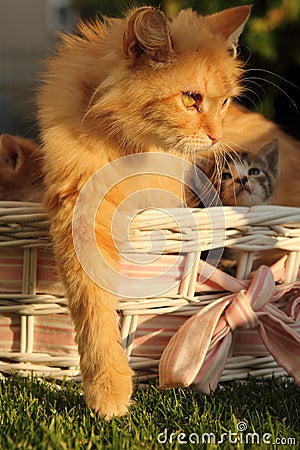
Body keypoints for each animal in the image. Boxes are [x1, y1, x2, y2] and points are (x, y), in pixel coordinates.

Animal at [37, 5, 253, 418]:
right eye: (191, 99)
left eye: (223, 103)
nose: (217, 136)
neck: (135, 148)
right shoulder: (79, 212)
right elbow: (94, 309)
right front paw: (108, 389)